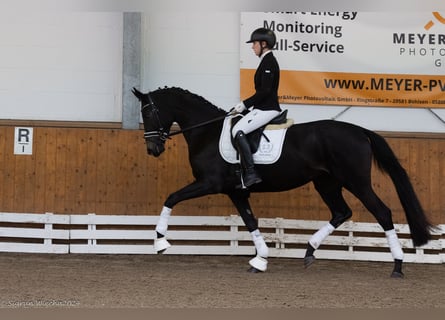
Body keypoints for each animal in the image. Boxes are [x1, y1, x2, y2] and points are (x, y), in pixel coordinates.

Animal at [133, 86, 434, 276]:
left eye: (147, 112)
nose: (152, 149)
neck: (207, 131)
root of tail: (359, 131)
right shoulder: (236, 192)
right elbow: (250, 222)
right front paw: (260, 259)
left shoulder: (210, 184)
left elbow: (171, 198)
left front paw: (160, 242)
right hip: (326, 183)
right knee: (341, 212)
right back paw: (310, 251)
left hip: (356, 182)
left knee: (382, 212)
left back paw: (397, 266)